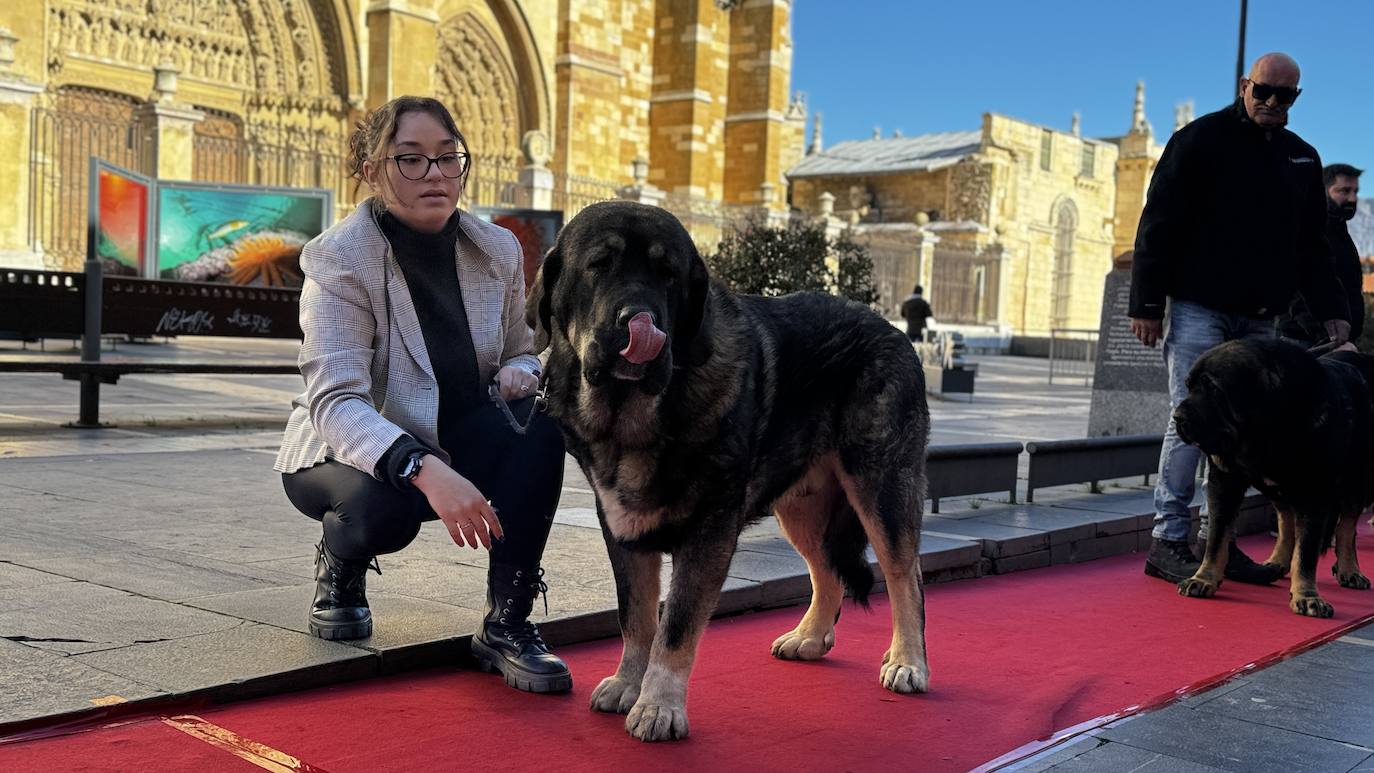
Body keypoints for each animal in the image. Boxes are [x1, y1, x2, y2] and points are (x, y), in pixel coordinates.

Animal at [524, 201, 934, 741]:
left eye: (668, 274)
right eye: (598, 266)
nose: (639, 320)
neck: (639, 416)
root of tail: (892, 329)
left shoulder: (709, 532)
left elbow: (675, 626)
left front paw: (659, 706)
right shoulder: (621, 528)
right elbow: (636, 616)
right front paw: (629, 683)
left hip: (880, 486)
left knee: (905, 575)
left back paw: (908, 660)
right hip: (801, 509)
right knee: (827, 571)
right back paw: (810, 636)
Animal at [1170, 339, 1374, 617]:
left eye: (1213, 388)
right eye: (1189, 386)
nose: (1177, 417)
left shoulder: (1315, 493)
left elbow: (1307, 551)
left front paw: (1307, 596)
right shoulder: (1223, 484)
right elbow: (1216, 537)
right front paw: (1203, 579)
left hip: (1354, 479)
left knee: (1346, 527)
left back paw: (1349, 570)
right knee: (1286, 521)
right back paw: (1277, 562)